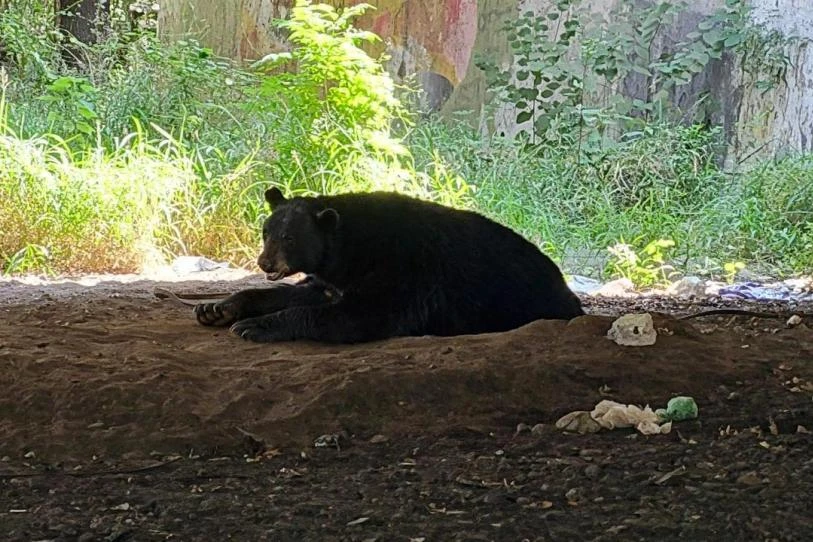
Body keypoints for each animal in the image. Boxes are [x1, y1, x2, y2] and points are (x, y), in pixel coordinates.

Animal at [197, 187, 584, 344]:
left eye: (290, 238)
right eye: (266, 231)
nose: (265, 261)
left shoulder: (403, 268)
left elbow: (362, 315)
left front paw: (254, 326)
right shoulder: (334, 277)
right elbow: (306, 293)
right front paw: (217, 308)